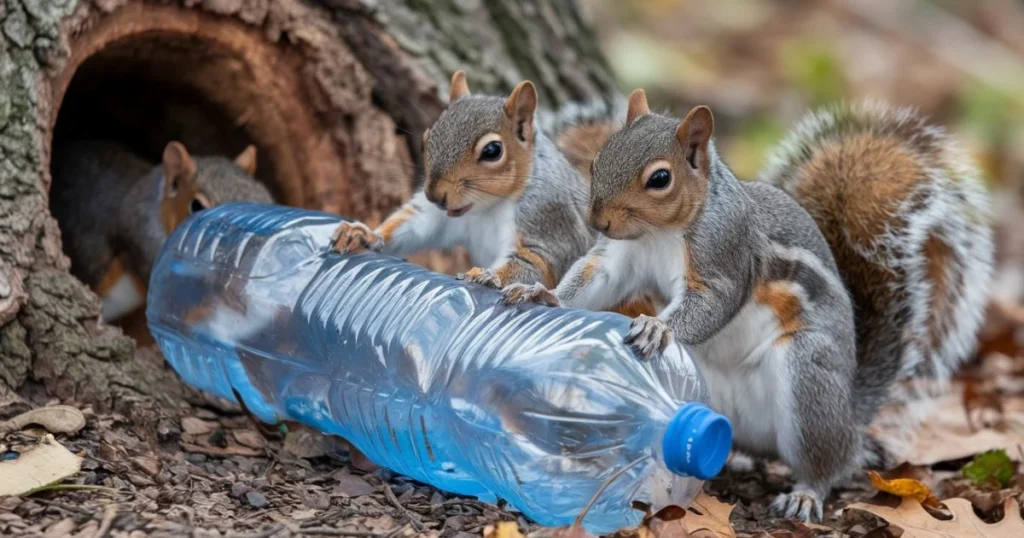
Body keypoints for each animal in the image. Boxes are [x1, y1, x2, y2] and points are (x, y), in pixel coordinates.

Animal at [331, 70, 655, 315]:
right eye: (426, 139)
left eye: (492, 151)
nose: (436, 195)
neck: (487, 207)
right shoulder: (440, 217)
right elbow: (417, 222)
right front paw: (365, 234)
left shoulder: (547, 219)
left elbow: (535, 261)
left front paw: (489, 276)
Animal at [507, 91, 995, 520]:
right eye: (597, 160)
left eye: (659, 178)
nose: (598, 221)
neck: (660, 233)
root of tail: (852, 413)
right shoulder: (621, 257)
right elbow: (595, 279)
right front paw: (543, 295)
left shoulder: (726, 254)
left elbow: (713, 303)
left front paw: (658, 328)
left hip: (808, 377)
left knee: (829, 459)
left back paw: (806, 493)